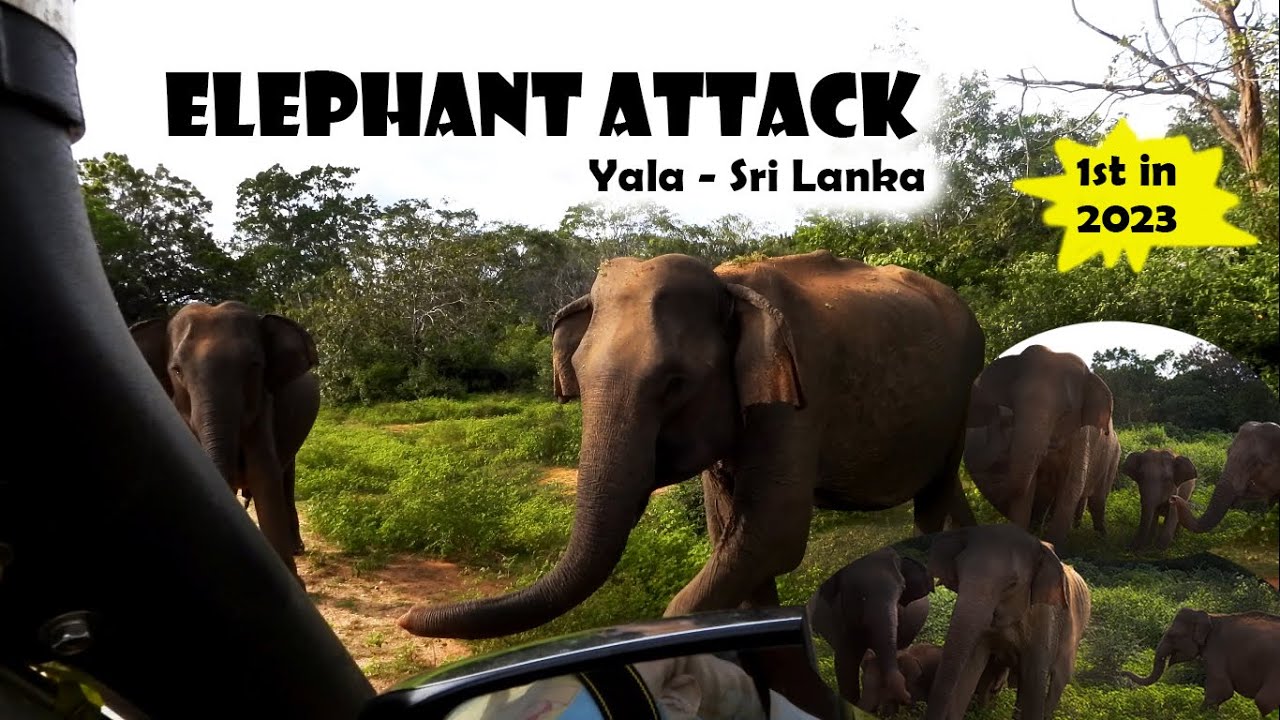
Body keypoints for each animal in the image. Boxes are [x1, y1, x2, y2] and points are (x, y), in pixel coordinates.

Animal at [129, 301, 319, 579]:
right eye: (177, 370)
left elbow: (264, 475)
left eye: (254, 365)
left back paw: (296, 548)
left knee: (286, 475)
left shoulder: (263, 406)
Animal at [399, 250, 985, 642]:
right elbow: (731, 533)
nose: (406, 617)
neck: (727, 285)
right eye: (579, 381)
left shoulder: (799, 393)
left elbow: (774, 533)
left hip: (962, 389)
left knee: (932, 498)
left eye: (674, 383)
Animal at [923, 524, 1091, 720]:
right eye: (958, 572)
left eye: (1012, 584)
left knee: (1058, 679)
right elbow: (971, 669)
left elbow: (1034, 680)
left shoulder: (1043, 619)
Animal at [963, 344, 1120, 549]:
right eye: (1013, 404)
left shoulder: (1081, 438)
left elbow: (1071, 488)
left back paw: (1102, 539)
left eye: (1066, 413)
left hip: (1113, 458)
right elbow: (1028, 488)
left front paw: (1057, 548)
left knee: (1098, 502)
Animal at [1122, 608, 1280, 716]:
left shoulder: (1217, 649)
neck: (1211, 616)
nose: (1122, 672)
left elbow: (1220, 690)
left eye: (1173, 635)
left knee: (1264, 700)